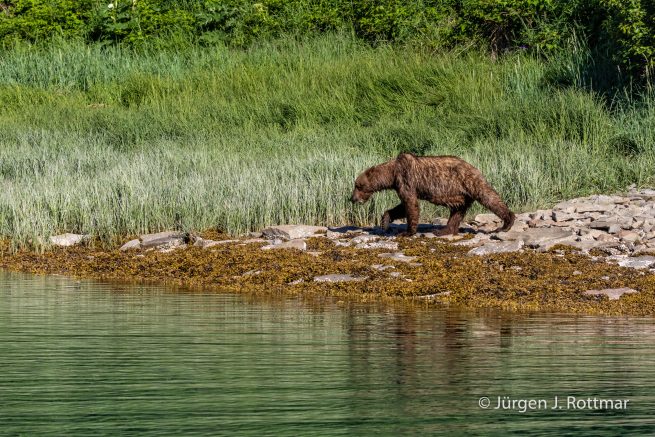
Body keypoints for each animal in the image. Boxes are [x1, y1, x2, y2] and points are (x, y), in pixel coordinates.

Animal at [350, 153, 515, 236]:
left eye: (358, 185)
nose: (352, 198)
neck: (392, 174)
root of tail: (476, 168)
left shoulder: (406, 179)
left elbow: (411, 204)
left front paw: (408, 232)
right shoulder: (401, 184)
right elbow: (402, 206)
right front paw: (385, 221)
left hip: (470, 182)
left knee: (488, 196)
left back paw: (507, 223)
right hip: (461, 195)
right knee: (457, 211)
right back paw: (443, 230)